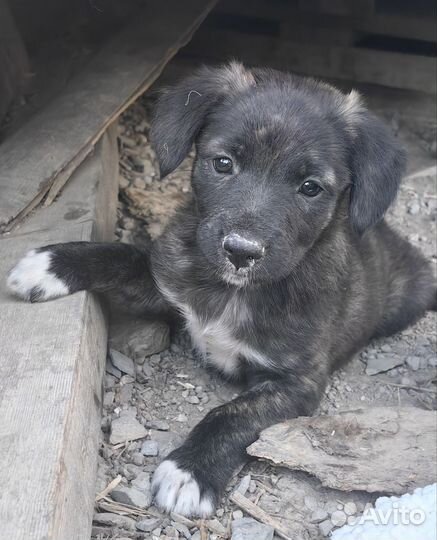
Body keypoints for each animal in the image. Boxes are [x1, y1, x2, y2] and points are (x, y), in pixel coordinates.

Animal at [7, 63, 436, 520]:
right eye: (223, 163)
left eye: (310, 187)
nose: (241, 251)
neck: (234, 292)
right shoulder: (165, 284)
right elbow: (121, 256)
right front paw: (50, 264)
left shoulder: (296, 382)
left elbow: (233, 413)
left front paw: (190, 471)